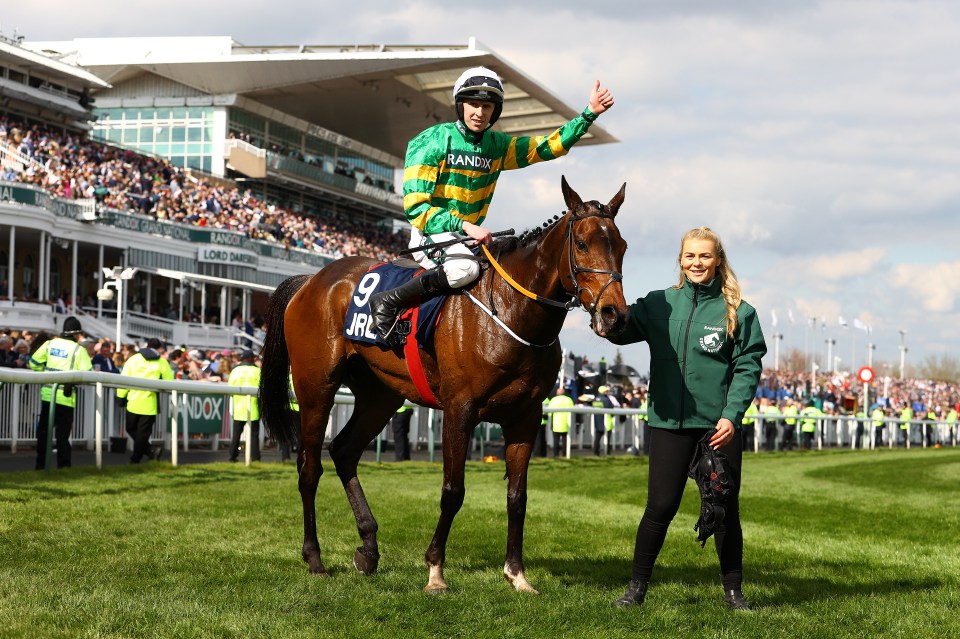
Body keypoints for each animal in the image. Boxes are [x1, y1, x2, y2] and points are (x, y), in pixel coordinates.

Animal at [258, 176, 632, 596]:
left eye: (621, 246)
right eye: (582, 243)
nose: (614, 315)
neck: (509, 314)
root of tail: (310, 280)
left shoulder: (525, 416)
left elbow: (517, 498)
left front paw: (517, 574)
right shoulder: (460, 409)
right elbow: (453, 492)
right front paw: (435, 570)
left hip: (379, 394)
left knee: (343, 451)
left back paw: (368, 548)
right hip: (315, 387)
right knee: (310, 467)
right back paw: (315, 558)